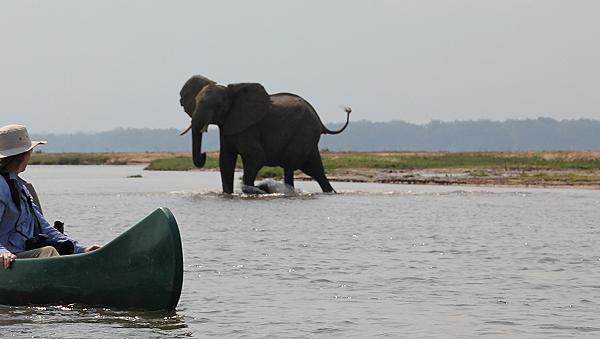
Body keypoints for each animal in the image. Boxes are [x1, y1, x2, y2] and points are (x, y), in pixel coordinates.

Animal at [180, 75, 354, 195]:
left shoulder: (249, 126)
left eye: (218, 106)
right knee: (316, 170)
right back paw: (330, 192)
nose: (204, 154)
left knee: (290, 165)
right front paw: (227, 194)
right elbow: (226, 161)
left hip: (304, 133)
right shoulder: (229, 125)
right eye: (195, 103)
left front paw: (251, 190)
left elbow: (256, 157)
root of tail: (319, 119)